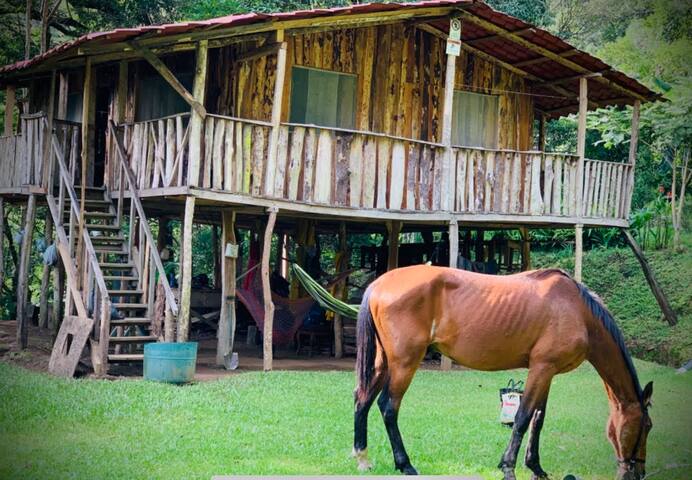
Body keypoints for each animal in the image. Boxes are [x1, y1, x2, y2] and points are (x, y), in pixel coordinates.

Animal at [354, 264, 652, 478]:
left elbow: (538, 420)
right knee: (388, 407)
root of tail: (379, 284)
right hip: (404, 363)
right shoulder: (541, 369)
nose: (640, 472)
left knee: (362, 400)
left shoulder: (547, 373)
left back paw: (362, 458)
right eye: (647, 426)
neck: (577, 311)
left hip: (383, 363)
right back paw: (405, 464)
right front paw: (508, 467)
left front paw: (536, 467)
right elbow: (522, 418)